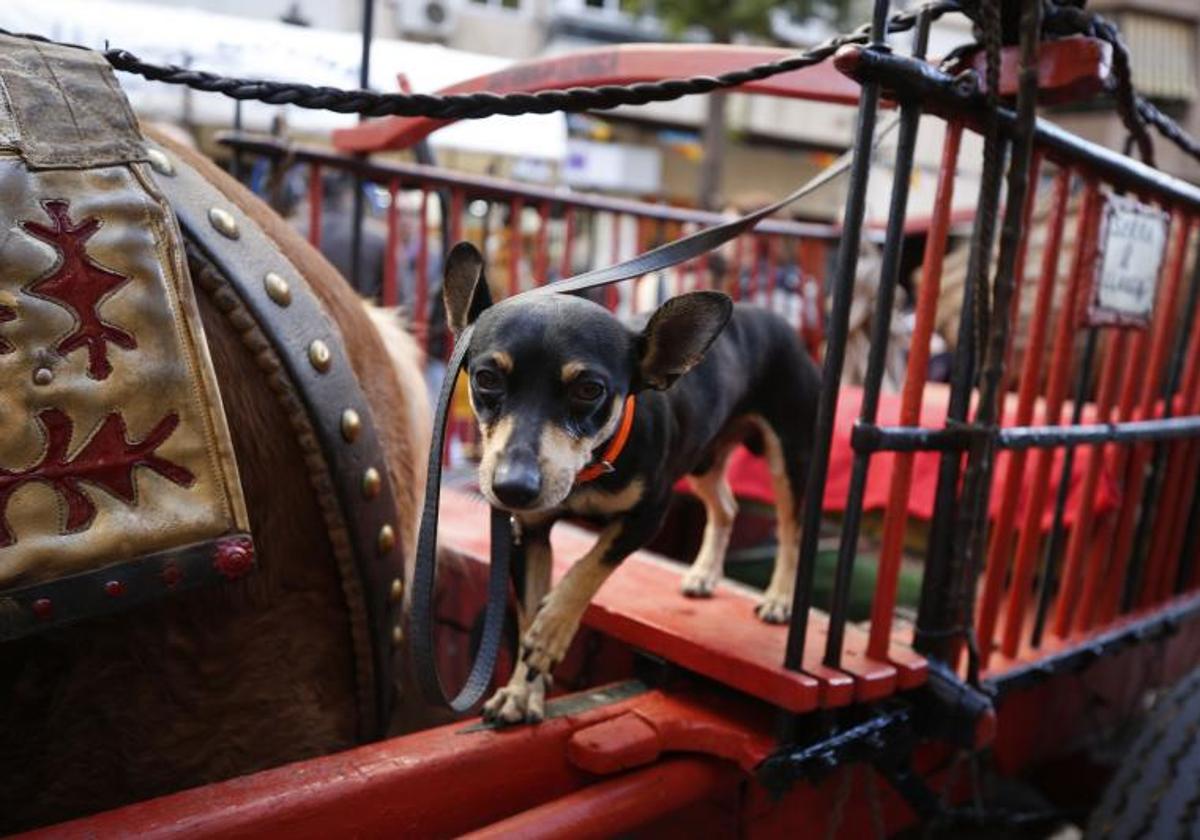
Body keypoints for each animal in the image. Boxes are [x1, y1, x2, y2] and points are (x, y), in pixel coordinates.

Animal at [446, 240, 820, 720]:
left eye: (589, 390)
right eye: (486, 379)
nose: (512, 488)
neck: (589, 469)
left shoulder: (648, 515)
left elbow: (588, 567)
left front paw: (551, 632)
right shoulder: (528, 534)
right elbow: (528, 609)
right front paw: (521, 691)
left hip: (790, 454)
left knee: (791, 529)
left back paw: (779, 598)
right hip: (702, 460)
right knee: (726, 506)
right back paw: (704, 573)